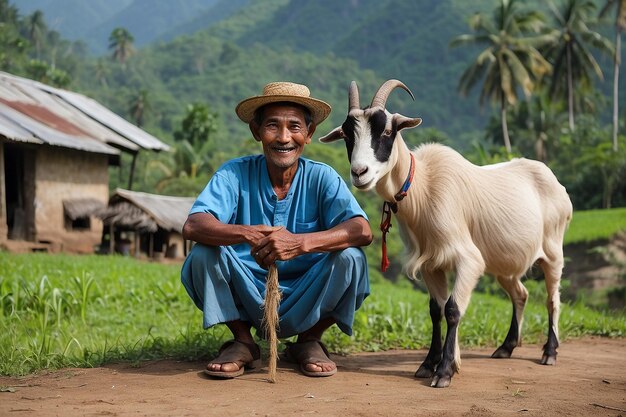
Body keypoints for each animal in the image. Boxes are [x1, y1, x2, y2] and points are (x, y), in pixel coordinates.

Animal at [320, 79, 572, 386]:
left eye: (388, 130)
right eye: (347, 134)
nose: (359, 173)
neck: (423, 187)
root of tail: (555, 182)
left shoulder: (468, 260)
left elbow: (453, 309)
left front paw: (444, 371)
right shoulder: (431, 263)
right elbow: (435, 310)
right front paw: (430, 363)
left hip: (553, 251)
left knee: (552, 299)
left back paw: (550, 352)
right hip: (504, 264)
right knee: (520, 294)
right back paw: (506, 347)